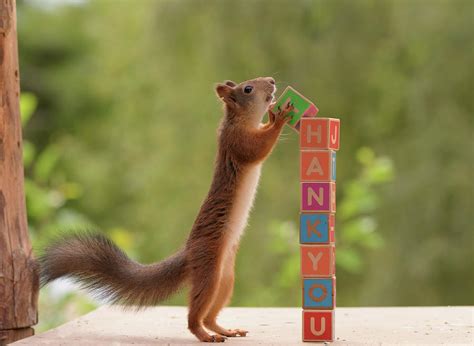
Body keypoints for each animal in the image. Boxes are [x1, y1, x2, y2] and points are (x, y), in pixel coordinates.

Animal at [39, 77, 292, 342]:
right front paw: (280, 118)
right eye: (248, 89)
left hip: (225, 280)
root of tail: (188, 252)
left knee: (210, 316)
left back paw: (224, 330)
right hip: (208, 271)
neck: (239, 120)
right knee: (195, 315)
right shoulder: (237, 142)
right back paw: (204, 334)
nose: (272, 81)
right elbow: (258, 148)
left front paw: (274, 113)